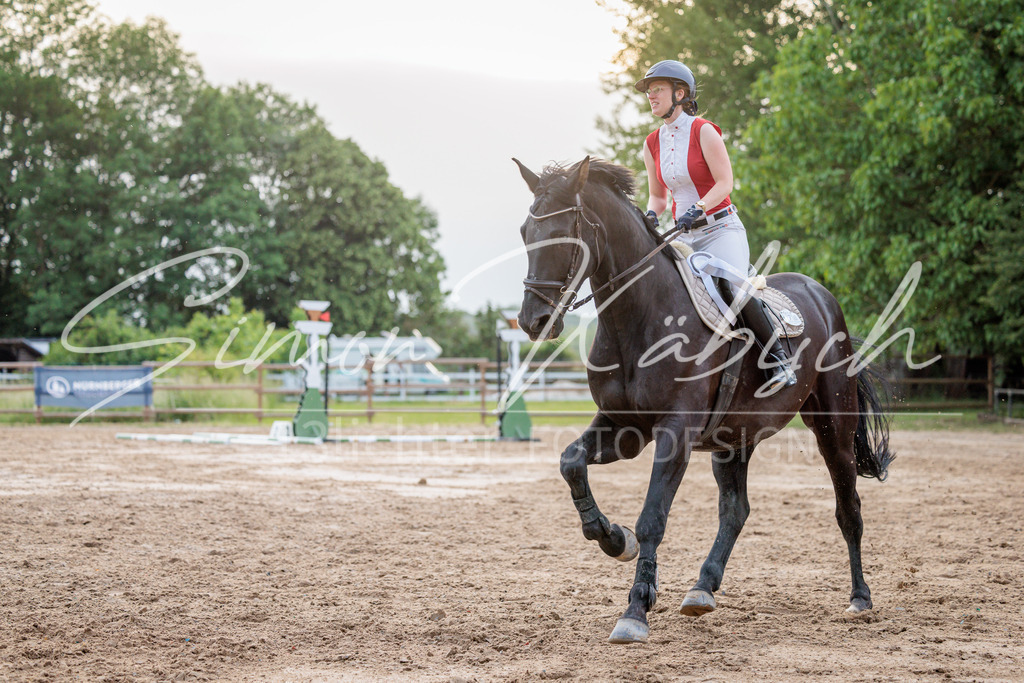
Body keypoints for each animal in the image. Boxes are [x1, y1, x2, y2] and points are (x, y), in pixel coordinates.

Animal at [512, 156, 894, 644]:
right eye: (526, 231)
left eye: (567, 234)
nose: (533, 321)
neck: (638, 317)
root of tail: (821, 295)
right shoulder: (624, 427)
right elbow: (571, 463)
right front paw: (614, 538)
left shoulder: (675, 432)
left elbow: (653, 517)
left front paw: (635, 610)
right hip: (733, 439)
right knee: (735, 510)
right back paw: (702, 588)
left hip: (833, 428)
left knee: (849, 509)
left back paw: (860, 598)